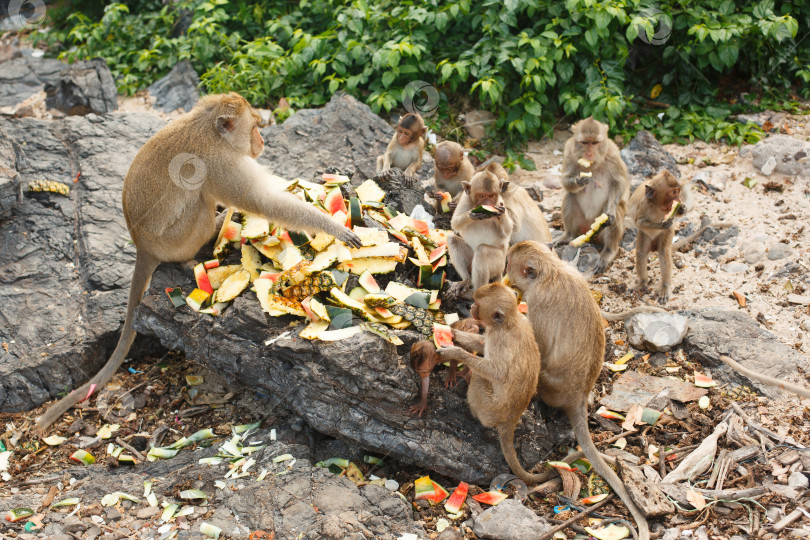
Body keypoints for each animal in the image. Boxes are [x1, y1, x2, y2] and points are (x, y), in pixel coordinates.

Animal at [37, 93, 360, 430]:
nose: (261, 141)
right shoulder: (221, 164)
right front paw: (332, 226)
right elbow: (262, 202)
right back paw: (215, 226)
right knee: (200, 200)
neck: (209, 128)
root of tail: (142, 246)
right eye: (254, 126)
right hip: (180, 237)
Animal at [432, 282, 540, 486]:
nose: (472, 307)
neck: (509, 322)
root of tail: (510, 420)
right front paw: (453, 333)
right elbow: (482, 343)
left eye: (477, 303)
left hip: (489, 407)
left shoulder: (499, 340)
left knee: (478, 378)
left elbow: (495, 371)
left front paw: (455, 352)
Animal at [446, 170, 516, 300]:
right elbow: (455, 222)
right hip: (471, 259)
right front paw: (472, 215)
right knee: (452, 239)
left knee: (482, 250)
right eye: (482, 196)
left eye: (491, 195)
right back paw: (466, 280)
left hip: (498, 263)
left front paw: (502, 214)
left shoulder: (500, 201)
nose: (487, 203)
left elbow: (508, 231)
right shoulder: (465, 198)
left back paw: (475, 293)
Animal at [498, 243, 652, 540]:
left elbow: (538, 347)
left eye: (509, 263)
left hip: (549, 386)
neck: (551, 271)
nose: (503, 272)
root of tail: (578, 397)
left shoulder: (539, 303)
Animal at [560, 116, 628, 272]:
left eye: (595, 143)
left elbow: (619, 183)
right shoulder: (569, 152)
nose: (589, 153)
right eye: (585, 142)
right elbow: (565, 180)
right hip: (580, 226)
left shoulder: (613, 154)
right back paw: (568, 236)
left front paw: (610, 212)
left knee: (616, 213)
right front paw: (578, 181)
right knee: (569, 196)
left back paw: (608, 252)